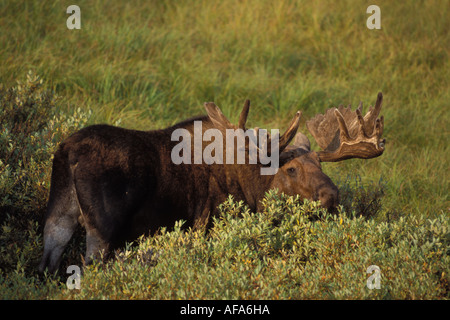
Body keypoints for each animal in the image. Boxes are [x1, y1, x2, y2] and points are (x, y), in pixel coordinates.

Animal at [38, 92, 384, 272]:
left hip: (59, 215)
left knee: (47, 263)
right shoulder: (208, 225)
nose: (332, 195)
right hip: (103, 227)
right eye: (291, 169)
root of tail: (68, 151)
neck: (249, 185)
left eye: (319, 164)